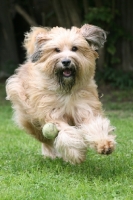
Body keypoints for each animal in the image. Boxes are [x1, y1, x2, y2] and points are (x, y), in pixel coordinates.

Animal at [5, 24, 116, 164]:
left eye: (75, 48)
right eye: (56, 50)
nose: (66, 61)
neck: (66, 91)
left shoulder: (86, 107)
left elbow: (95, 124)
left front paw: (104, 143)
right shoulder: (52, 113)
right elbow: (66, 132)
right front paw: (76, 154)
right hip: (31, 120)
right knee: (46, 140)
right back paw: (51, 154)